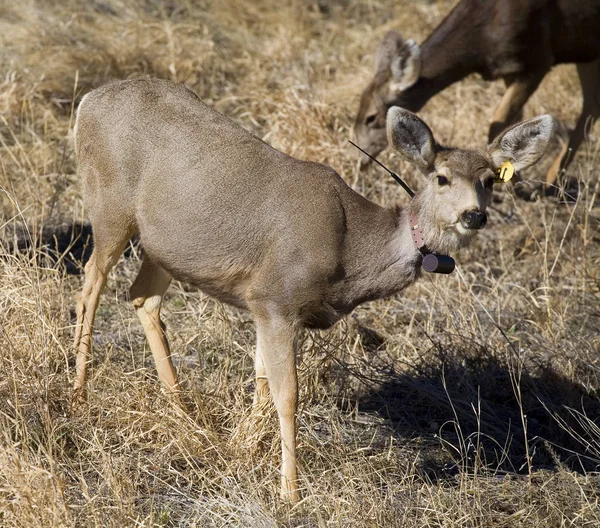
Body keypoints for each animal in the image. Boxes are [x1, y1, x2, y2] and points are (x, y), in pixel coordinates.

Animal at [72, 78, 552, 504]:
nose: (474, 216)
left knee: (142, 296)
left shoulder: (268, 306)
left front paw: (243, 447)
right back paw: (78, 395)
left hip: (162, 246)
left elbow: (261, 377)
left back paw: (186, 413)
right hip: (108, 204)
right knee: (91, 284)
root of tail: (87, 102)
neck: (349, 248)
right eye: (441, 177)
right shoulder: (276, 296)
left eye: (490, 180)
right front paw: (290, 491)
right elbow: (287, 394)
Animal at [354, 0, 600, 190]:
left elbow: (497, 123)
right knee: (592, 105)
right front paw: (517, 181)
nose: (360, 162)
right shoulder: (510, 70)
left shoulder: (538, 61)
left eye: (371, 117)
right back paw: (553, 180)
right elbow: (512, 120)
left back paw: (550, 180)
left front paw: (513, 183)